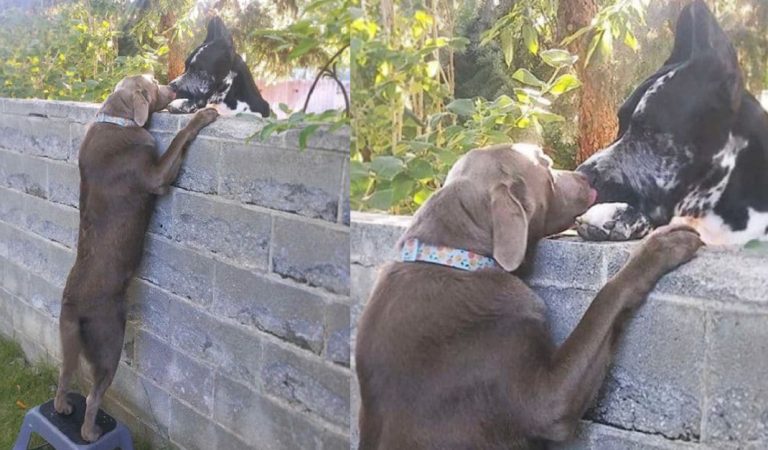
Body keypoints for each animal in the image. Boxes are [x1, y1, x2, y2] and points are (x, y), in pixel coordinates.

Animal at [54, 75, 218, 442]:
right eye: (154, 84)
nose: (174, 87)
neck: (116, 118)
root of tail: (72, 304)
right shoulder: (156, 176)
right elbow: (179, 138)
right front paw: (203, 115)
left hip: (69, 342)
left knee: (64, 376)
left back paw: (63, 408)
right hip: (110, 340)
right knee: (93, 395)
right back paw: (90, 433)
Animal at [354, 145, 704, 450]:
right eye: (546, 164)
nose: (585, 176)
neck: (458, 256)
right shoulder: (546, 400)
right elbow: (606, 297)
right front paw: (662, 246)